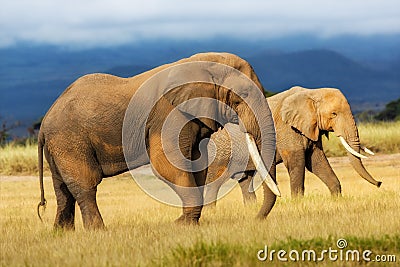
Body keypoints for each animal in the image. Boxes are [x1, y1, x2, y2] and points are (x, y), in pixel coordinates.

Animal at [38, 51, 282, 230]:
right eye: (241, 97)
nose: (256, 218)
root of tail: (44, 122)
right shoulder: (167, 115)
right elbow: (167, 164)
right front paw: (182, 225)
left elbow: (197, 163)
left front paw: (187, 223)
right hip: (69, 140)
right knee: (85, 184)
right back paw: (98, 231)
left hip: (59, 145)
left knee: (62, 189)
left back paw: (63, 233)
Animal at [205, 86, 382, 205]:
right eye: (334, 114)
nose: (380, 183)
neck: (312, 93)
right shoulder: (286, 129)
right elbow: (297, 162)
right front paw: (298, 202)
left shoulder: (310, 128)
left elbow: (316, 161)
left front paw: (336, 199)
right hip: (219, 154)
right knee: (215, 183)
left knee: (244, 179)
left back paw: (250, 207)